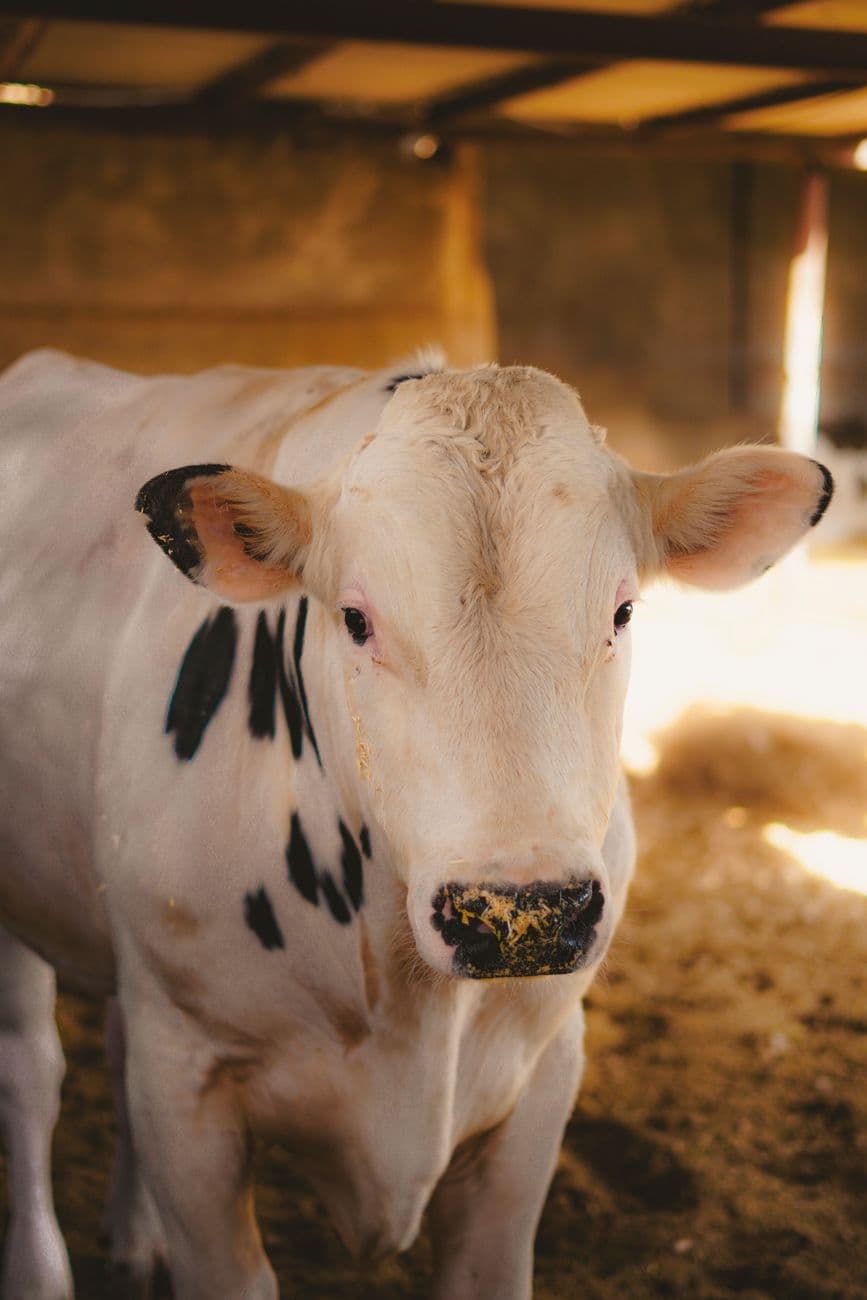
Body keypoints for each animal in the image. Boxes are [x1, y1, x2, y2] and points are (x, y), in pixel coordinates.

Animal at [0, 347, 833, 1300]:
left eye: (621, 612)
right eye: (355, 619)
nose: (523, 913)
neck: (407, 1004)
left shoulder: (543, 1078)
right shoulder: (187, 1079)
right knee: (32, 1072)